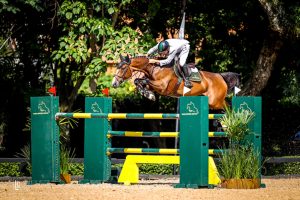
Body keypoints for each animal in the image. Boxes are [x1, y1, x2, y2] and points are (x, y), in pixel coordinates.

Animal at [111, 54, 240, 109]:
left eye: (123, 68)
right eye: (117, 66)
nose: (114, 84)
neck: (155, 69)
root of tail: (220, 77)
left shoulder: (162, 87)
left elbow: (143, 80)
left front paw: (149, 95)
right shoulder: (154, 85)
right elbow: (139, 81)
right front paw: (148, 94)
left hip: (215, 102)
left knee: (228, 108)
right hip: (213, 102)